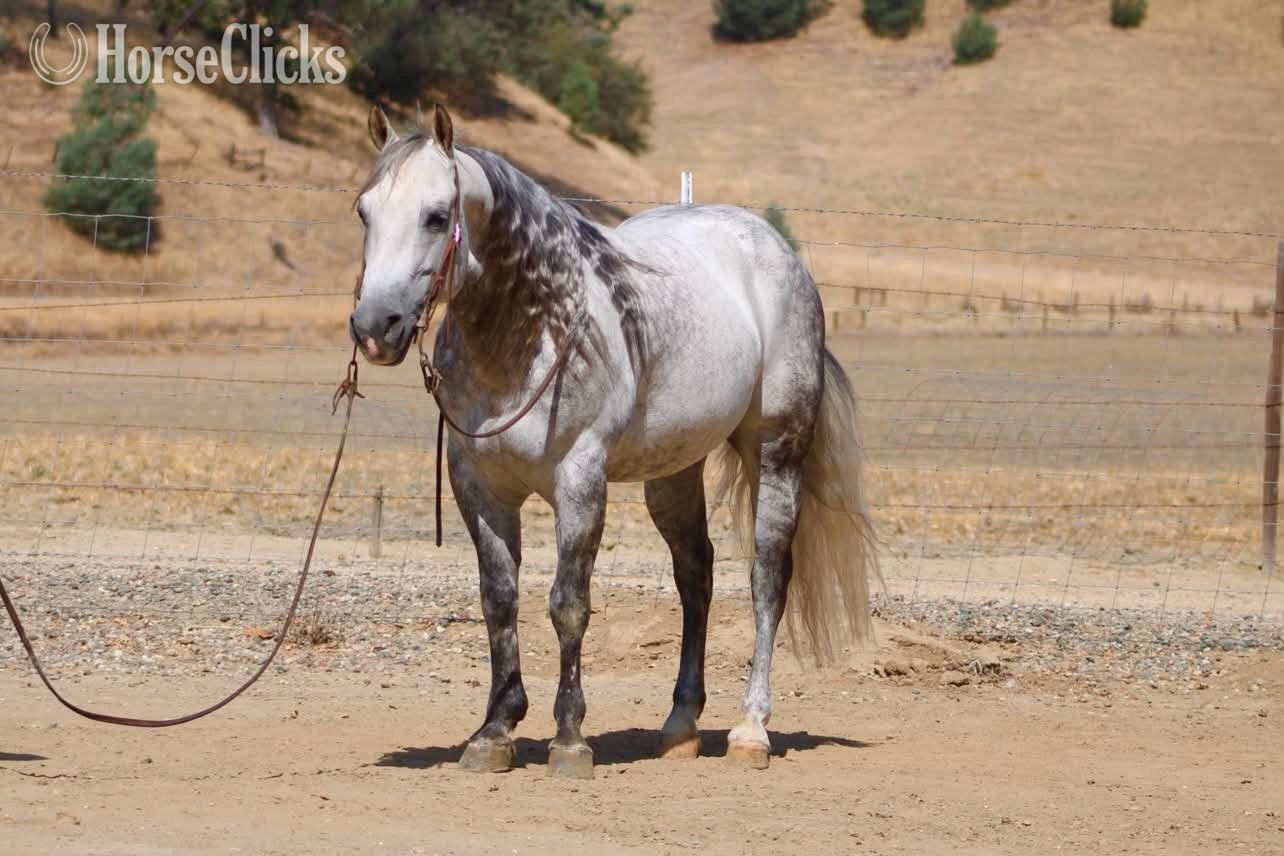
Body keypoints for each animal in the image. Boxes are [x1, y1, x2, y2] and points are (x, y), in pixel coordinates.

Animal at [349, 105, 877, 778]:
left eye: (437, 216)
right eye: (364, 212)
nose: (374, 328)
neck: (530, 333)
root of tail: (777, 249)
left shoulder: (580, 482)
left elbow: (568, 603)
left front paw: (570, 738)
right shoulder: (479, 487)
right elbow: (499, 600)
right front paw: (494, 731)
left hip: (778, 451)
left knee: (766, 578)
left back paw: (750, 730)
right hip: (674, 470)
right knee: (695, 574)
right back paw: (680, 726)